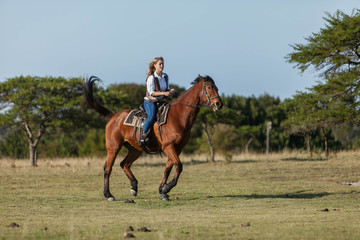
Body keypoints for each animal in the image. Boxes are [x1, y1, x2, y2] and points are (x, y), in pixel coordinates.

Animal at [83, 75, 222, 201]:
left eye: (216, 87)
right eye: (209, 87)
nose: (219, 104)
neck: (178, 116)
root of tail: (113, 116)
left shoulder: (177, 148)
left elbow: (168, 168)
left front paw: (163, 191)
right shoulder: (168, 147)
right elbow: (178, 166)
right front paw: (166, 188)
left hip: (135, 150)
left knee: (124, 164)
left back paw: (134, 187)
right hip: (113, 148)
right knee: (108, 168)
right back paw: (109, 195)